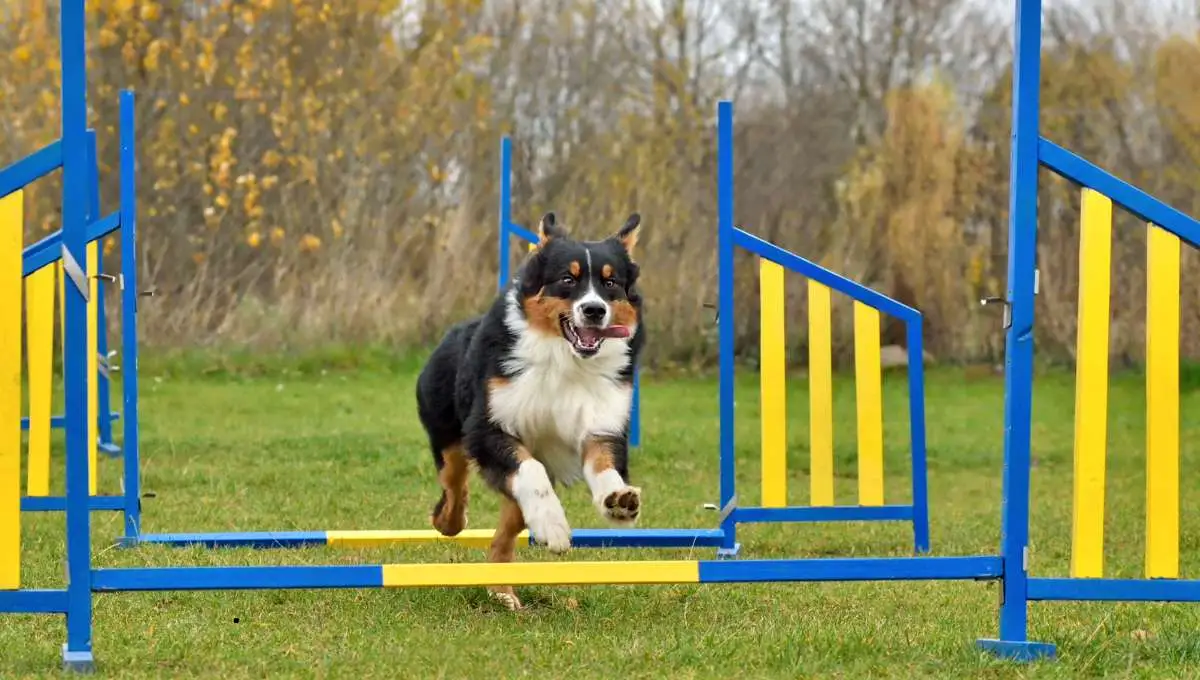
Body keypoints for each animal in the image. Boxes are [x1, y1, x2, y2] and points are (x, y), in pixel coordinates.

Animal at [417, 211, 652, 606]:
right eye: (567, 279)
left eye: (611, 283)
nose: (594, 310)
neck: (565, 359)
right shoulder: (490, 425)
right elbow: (531, 474)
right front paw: (553, 525)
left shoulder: (600, 422)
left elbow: (604, 464)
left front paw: (619, 500)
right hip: (448, 435)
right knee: (454, 488)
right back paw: (450, 522)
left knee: (504, 533)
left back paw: (502, 592)